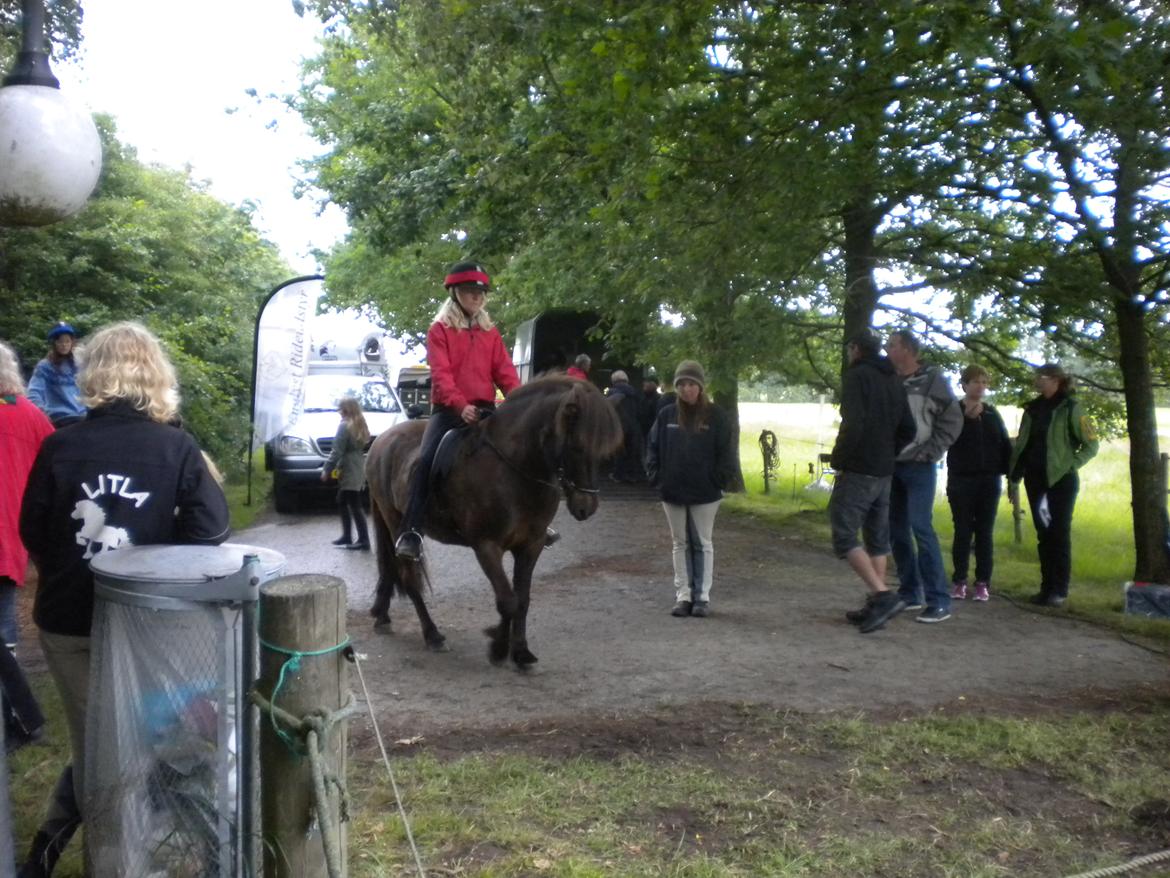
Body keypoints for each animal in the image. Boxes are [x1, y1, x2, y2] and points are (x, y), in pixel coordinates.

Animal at [365, 374, 627, 669]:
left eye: (604, 452)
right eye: (576, 447)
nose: (586, 507)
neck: (515, 469)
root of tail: (381, 440)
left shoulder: (531, 545)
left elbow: (522, 600)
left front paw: (520, 650)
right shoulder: (487, 546)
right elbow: (507, 600)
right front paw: (499, 647)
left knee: (390, 569)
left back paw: (382, 615)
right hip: (394, 519)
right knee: (408, 577)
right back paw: (432, 634)